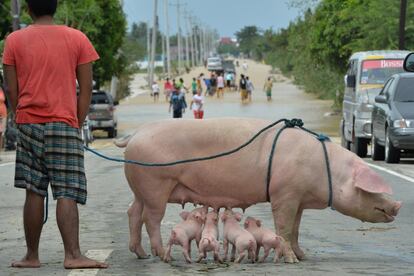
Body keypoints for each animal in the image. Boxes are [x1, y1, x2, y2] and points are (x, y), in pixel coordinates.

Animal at [116, 118, 402, 264]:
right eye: (372, 190)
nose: (398, 205)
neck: (327, 170)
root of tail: (134, 135)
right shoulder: (284, 193)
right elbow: (284, 227)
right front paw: (292, 261)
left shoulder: (298, 198)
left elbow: (295, 228)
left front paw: (303, 256)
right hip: (155, 183)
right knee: (150, 217)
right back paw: (159, 255)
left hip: (141, 186)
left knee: (132, 212)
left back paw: (140, 254)